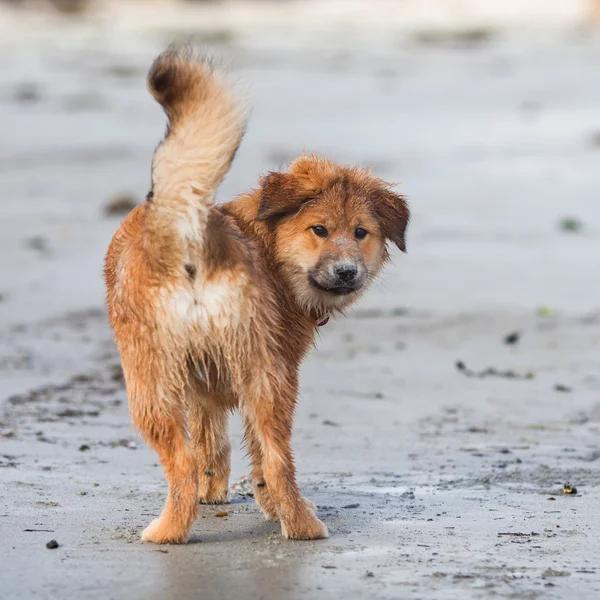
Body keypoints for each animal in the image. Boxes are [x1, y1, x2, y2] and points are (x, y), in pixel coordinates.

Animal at [105, 47, 410, 544]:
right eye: (319, 230)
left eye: (361, 232)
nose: (348, 272)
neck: (267, 245)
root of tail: (190, 233)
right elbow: (220, 446)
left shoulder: (210, 384)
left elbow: (212, 445)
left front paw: (219, 494)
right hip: (246, 375)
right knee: (270, 458)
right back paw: (293, 524)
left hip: (169, 380)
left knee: (201, 460)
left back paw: (177, 529)